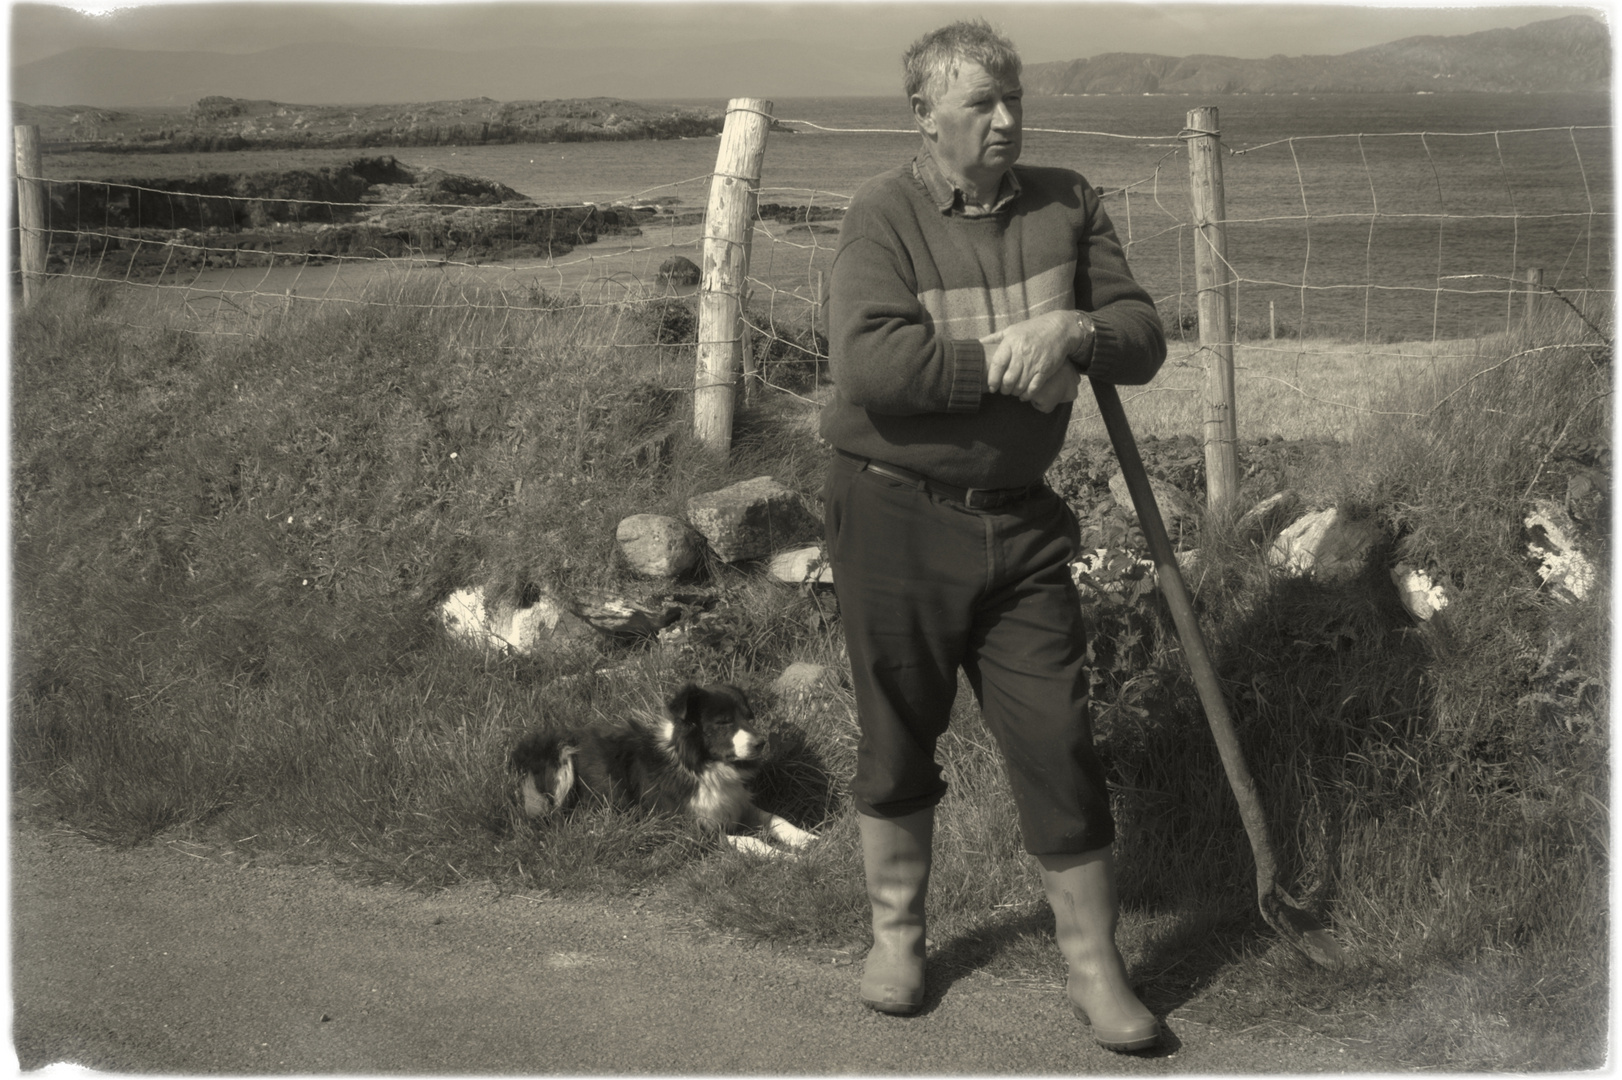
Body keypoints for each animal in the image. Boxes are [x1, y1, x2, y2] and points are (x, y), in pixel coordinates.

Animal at [509, 684, 817, 856]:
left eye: (748, 717)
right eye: (723, 722)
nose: (761, 743)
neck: (700, 766)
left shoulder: (736, 804)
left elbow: (777, 818)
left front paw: (807, 840)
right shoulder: (687, 827)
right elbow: (749, 840)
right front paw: (786, 857)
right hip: (558, 753)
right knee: (553, 817)